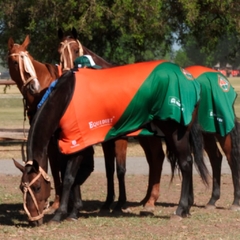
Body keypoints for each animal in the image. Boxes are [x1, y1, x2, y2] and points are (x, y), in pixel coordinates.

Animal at [14, 60, 209, 225]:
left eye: (37, 187)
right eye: (22, 188)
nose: (34, 219)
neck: (66, 96)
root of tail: (188, 77)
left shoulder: (78, 144)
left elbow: (69, 177)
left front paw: (60, 214)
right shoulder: (71, 145)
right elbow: (74, 176)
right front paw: (74, 211)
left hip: (175, 133)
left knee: (185, 164)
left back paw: (180, 209)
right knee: (187, 162)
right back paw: (186, 207)